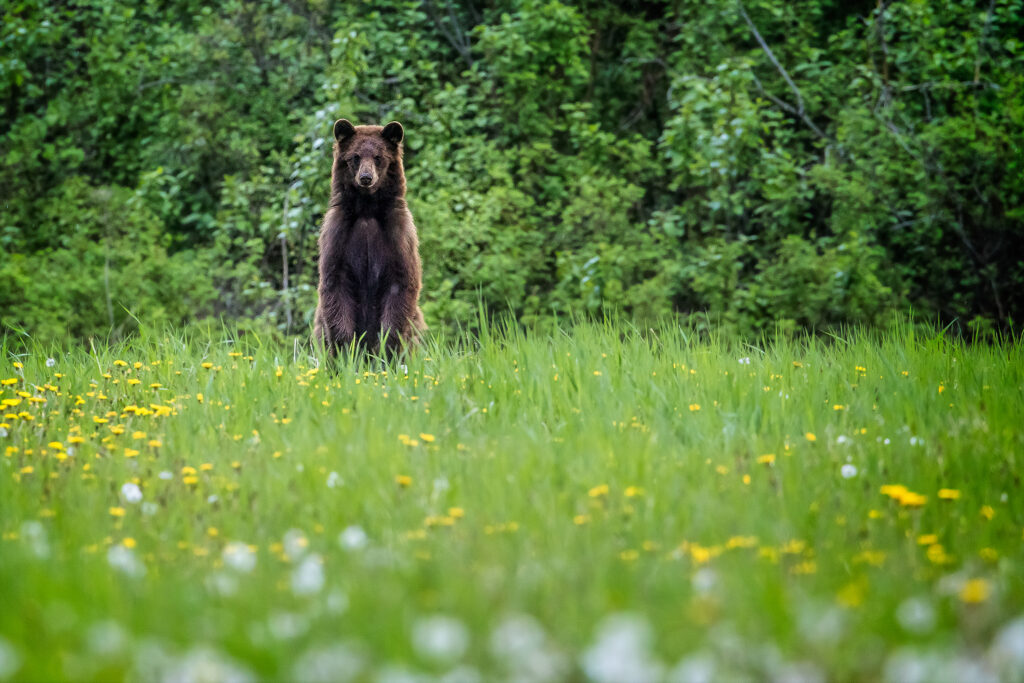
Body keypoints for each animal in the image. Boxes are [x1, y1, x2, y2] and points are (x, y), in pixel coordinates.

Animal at [312, 118, 426, 357]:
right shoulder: (338, 236)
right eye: (355, 157)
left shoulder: (397, 236)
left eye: (378, 157)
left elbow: (401, 285)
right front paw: (345, 350)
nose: (366, 178)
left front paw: (387, 348)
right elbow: (334, 287)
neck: (367, 209)